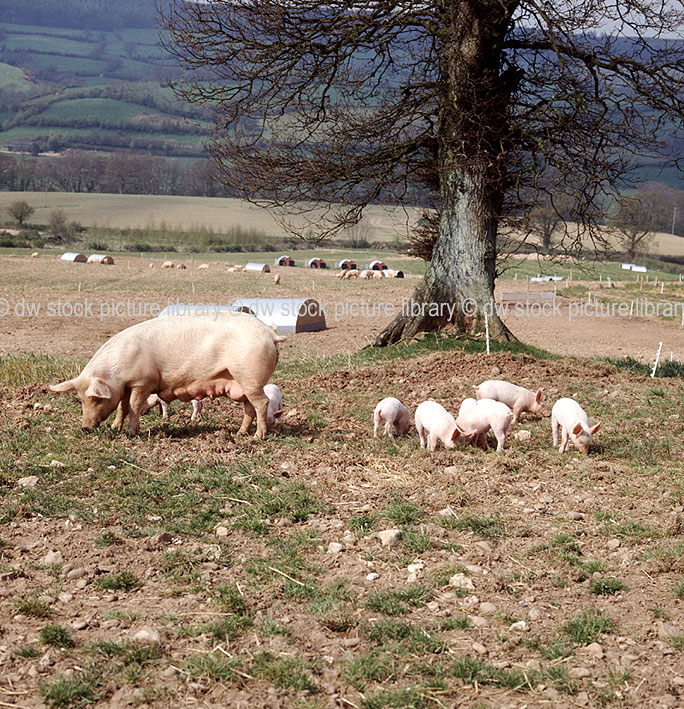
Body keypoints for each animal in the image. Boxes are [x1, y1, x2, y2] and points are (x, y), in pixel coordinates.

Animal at [48, 312, 284, 436]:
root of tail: (270, 334)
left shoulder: (143, 382)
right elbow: (122, 407)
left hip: (251, 377)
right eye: (80, 400)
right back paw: (240, 433)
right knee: (249, 407)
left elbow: (133, 406)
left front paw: (132, 433)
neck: (117, 373)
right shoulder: (125, 387)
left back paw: (257, 436)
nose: (85, 427)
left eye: (95, 399)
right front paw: (115, 428)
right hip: (241, 382)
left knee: (261, 403)